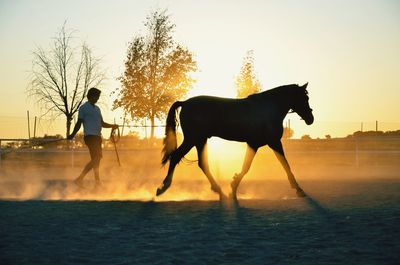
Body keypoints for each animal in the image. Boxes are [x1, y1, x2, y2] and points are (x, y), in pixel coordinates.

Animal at [155, 82, 314, 200]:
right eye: (304, 98)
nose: (310, 119)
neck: (267, 108)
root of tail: (185, 102)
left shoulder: (254, 144)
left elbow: (246, 166)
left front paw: (233, 186)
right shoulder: (273, 142)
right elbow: (284, 164)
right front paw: (299, 189)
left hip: (200, 140)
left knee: (202, 163)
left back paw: (218, 190)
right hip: (193, 139)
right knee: (176, 156)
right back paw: (163, 187)